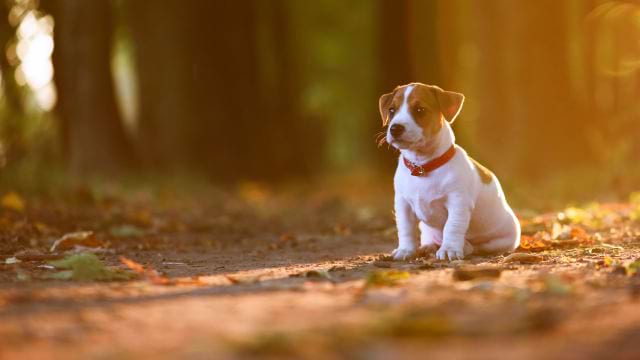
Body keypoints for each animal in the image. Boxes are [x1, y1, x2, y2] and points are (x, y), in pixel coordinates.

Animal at [380, 83, 520, 260]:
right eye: (392, 110)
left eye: (420, 110)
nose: (395, 128)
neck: (423, 166)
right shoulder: (403, 204)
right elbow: (405, 229)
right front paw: (406, 250)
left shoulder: (458, 202)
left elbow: (452, 227)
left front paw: (449, 249)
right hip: (426, 228)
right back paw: (429, 246)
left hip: (502, 240)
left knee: (477, 247)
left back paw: (465, 247)